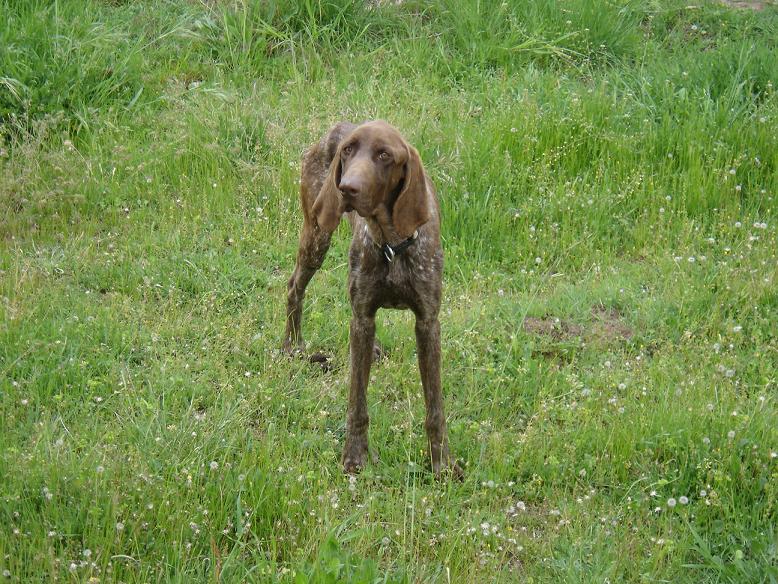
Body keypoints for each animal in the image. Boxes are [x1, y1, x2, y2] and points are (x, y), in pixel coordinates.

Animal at [282, 120, 460, 480]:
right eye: (348, 151)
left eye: (384, 155)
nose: (347, 188)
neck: (392, 242)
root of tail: (336, 126)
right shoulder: (363, 317)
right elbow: (357, 403)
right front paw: (355, 456)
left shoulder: (427, 323)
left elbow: (435, 408)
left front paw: (442, 464)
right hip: (317, 234)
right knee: (294, 287)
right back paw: (292, 347)